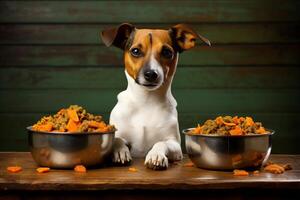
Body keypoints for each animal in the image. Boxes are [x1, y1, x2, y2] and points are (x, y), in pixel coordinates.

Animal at [99, 23, 210, 170]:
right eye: (135, 51)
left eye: (167, 52)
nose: (151, 74)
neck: (146, 101)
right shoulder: (119, 133)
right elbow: (117, 139)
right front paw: (120, 152)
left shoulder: (175, 145)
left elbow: (161, 143)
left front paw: (155, 155)